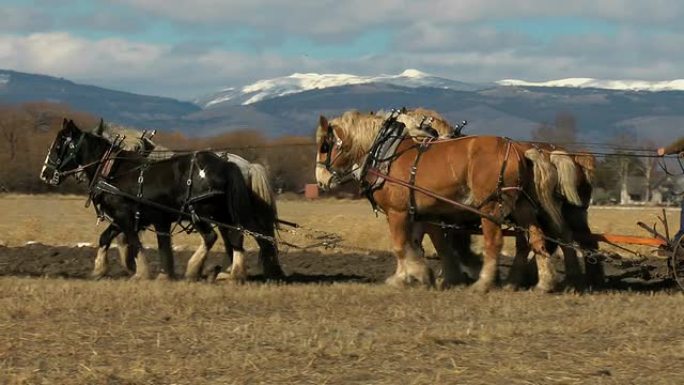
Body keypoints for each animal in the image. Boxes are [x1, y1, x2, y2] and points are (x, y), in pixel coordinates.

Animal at [40, 118, 284, 280]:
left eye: (59, 145)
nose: (45, 174)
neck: (114, 170)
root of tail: (231, 164)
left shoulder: (126, 217)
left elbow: (134, 242)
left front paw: (141, 271)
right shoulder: (135, 218)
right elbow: (108, 239)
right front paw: (101, 269)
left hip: (200, 212)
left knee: (215, 237)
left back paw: (197, 269)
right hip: (223, 213)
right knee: (236, 238)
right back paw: (233, 273)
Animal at [316, 111, 568, 292]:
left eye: (325, 147)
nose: (320, 181)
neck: (386, 153)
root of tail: (518, 148)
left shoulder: (397, 212)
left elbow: (400, 245)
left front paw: (416, 274)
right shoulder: (420, 213)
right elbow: (420, 244)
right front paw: (410, 276)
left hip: (490, 207)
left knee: (494, 242)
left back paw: (484, 283)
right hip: (522, 207)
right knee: (535, 239)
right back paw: (543, 283)